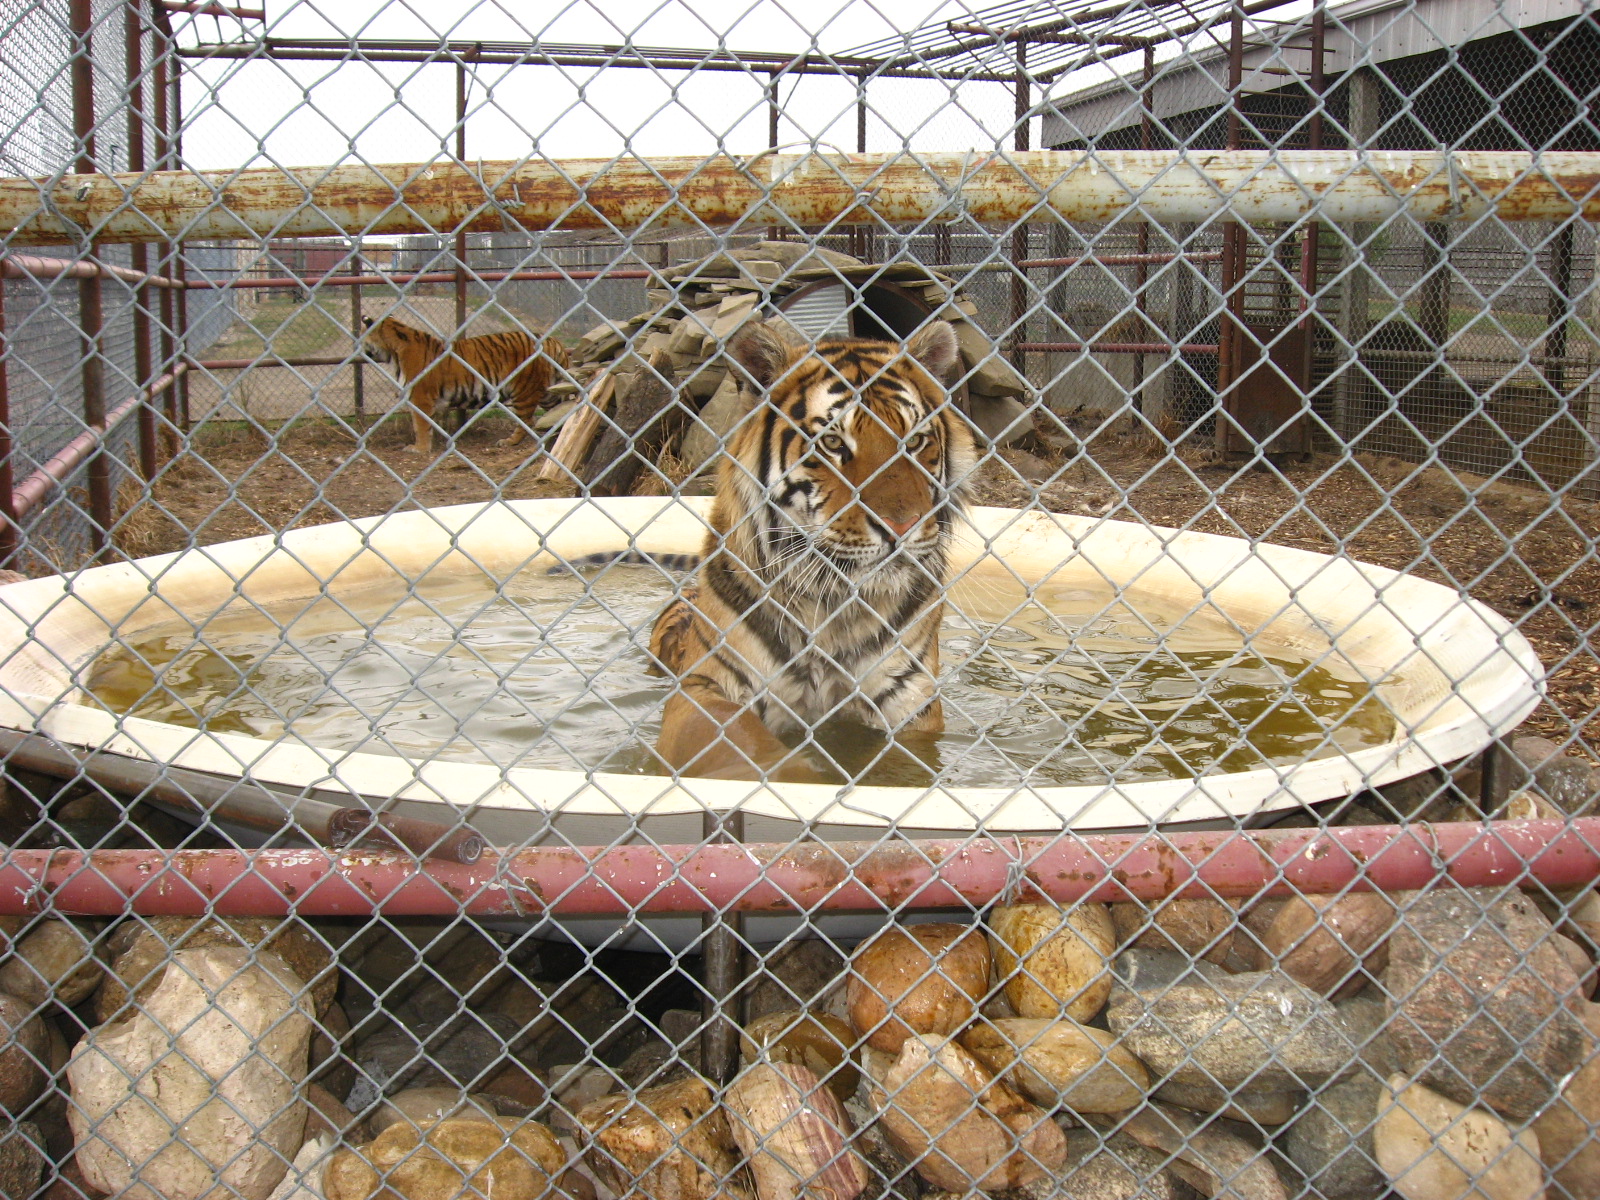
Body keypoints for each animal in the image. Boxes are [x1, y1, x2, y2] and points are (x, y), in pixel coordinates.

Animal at [360, 316, 570, 455]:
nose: (357, 347)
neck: (393, 350)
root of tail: (553, 341)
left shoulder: (420, 398)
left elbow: (420, 425)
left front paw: (419, 449)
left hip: (524, 391)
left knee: (527, 421)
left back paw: (509, 442)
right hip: (550, 392)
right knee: (559, 411)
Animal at [644, 318, 977, 783]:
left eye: (914, 441)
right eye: (833, 444)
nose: (903, 526)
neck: (833, 606)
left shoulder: (909, 701)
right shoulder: (705, 688)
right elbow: (743, 742)